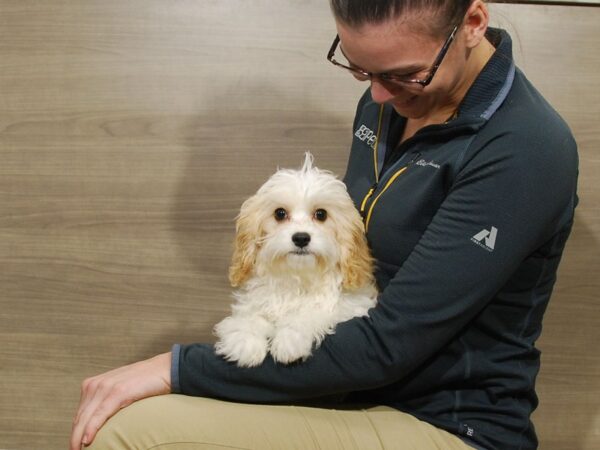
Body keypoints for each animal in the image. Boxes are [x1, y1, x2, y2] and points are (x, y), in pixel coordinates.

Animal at [213, 153, 378, 368]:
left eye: (321, 214)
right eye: (280, 213)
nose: (301, 238)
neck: (297, 277)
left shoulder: (351, 306)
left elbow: (313, 313)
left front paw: (289, 339)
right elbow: (251, 314)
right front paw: (244, 340)